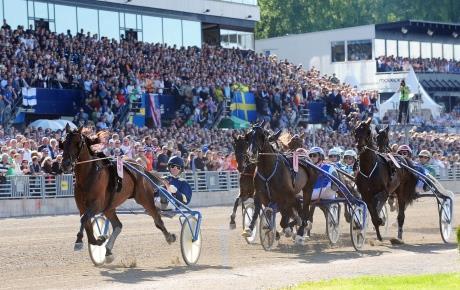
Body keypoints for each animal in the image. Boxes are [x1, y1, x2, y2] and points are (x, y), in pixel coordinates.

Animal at [61, 125, 176, 262]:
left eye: (77, 142)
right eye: (63, 143)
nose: (65, 164)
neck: (89, 176)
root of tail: (140, 168)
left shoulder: (97, 205)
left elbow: (84, 219)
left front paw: (79, 240)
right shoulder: (82, 207)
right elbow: (87, 224)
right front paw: (99, 239)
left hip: (144, 198)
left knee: (157, 218)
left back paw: (169, 237)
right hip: (109, 207)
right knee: (118, 225)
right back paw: (108, 250)